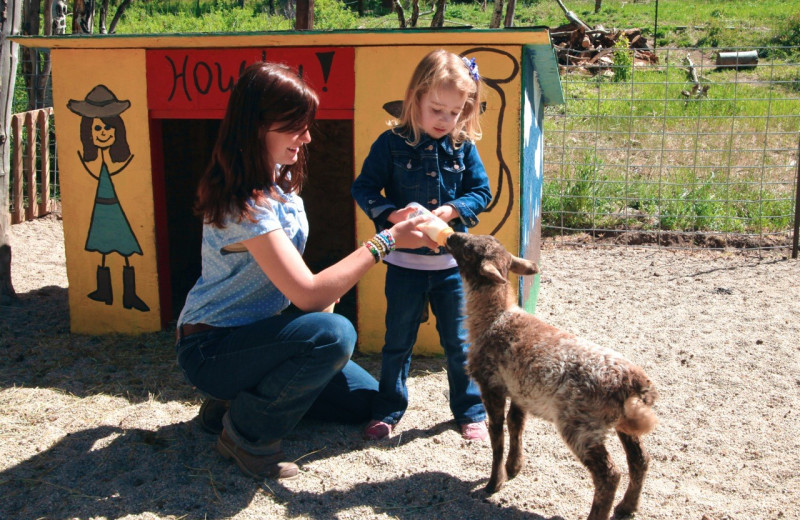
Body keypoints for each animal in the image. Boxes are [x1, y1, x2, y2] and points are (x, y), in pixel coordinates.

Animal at [446, 234, 660, 520]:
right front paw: (514, 467)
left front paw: (494, 483)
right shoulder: (520, 389)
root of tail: (635, 385)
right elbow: (516, 424)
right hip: (622, 423)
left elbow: (497, 435)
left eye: (468, 251)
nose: (451, 236)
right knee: (639, 460)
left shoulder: (490, 384)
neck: (494, 317)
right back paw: (627, 507)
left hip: (581, 424)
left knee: (609, 475)